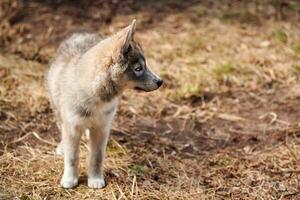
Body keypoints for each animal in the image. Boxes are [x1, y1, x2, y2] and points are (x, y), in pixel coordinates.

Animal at [47, 19, 163, 188]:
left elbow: (97, 157)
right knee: (61, 126)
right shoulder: (72, 126)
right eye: (138, 68)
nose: (160, 82)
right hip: (57, 109)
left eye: (144, 66)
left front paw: (95, 180)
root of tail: (82, 33)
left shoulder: (102, 128)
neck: (95, 96)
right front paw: (69, 180)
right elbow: (72, 157)